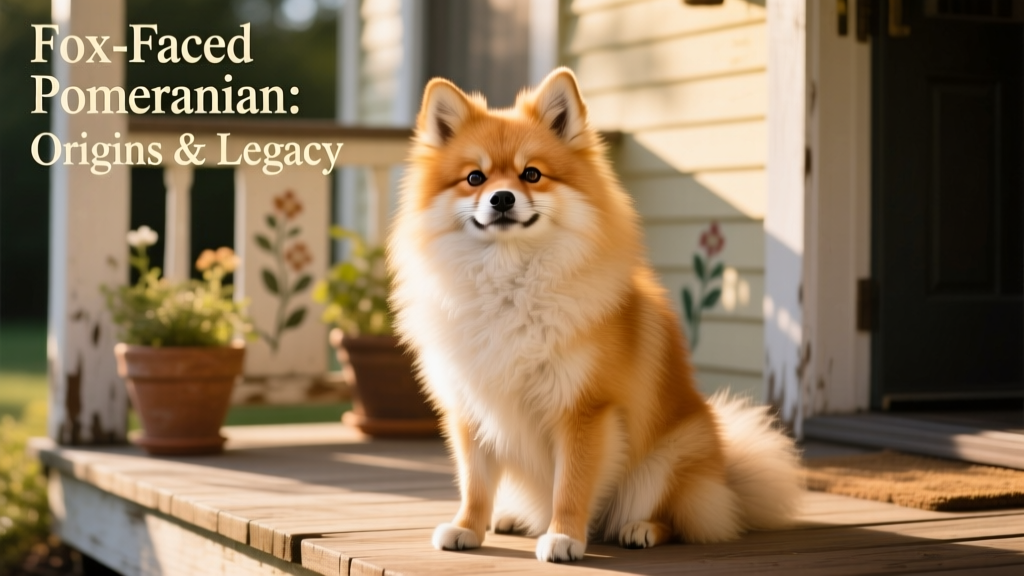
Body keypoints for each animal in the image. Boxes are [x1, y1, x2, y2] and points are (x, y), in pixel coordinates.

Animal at [387, 67, 803, 563]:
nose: (502, 198)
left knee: (676, 517)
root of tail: (726, 480)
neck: (509, 288)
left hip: (669, 457)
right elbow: (475, 483)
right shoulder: (471, 408)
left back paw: (640, 528)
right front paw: (467, 527)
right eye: (474, 177)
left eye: (532, 174)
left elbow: (572, 484)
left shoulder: (584, 409)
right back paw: (512, 518)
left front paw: (564, 535)